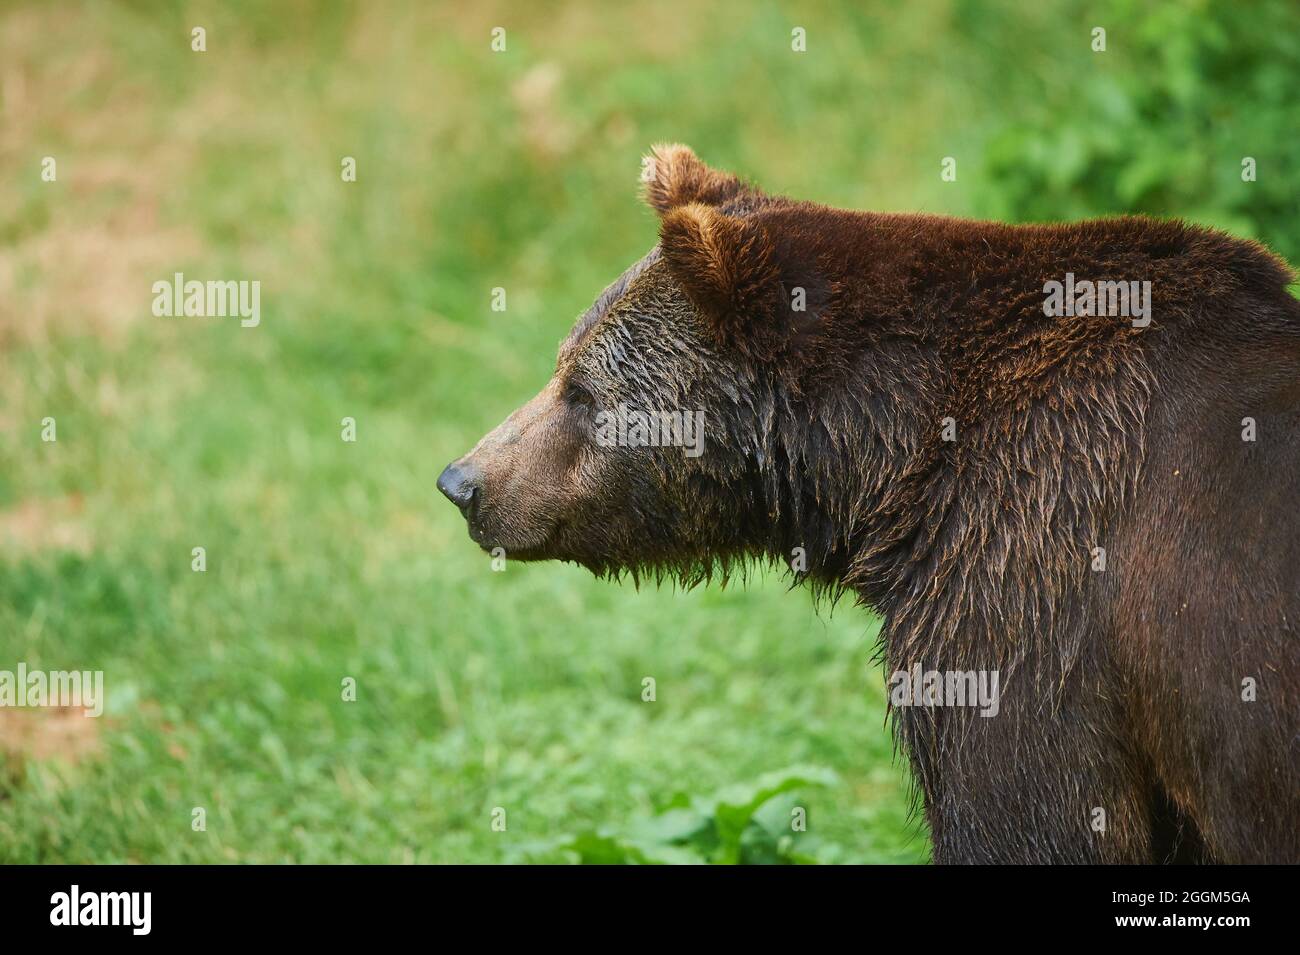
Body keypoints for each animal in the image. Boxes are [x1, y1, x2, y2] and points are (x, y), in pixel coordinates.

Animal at [438, 144, 1300, 864]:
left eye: (583, 391)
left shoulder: (1032, 596)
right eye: (562, 363)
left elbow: (1025, 815)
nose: (463, 481)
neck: (894, 466)